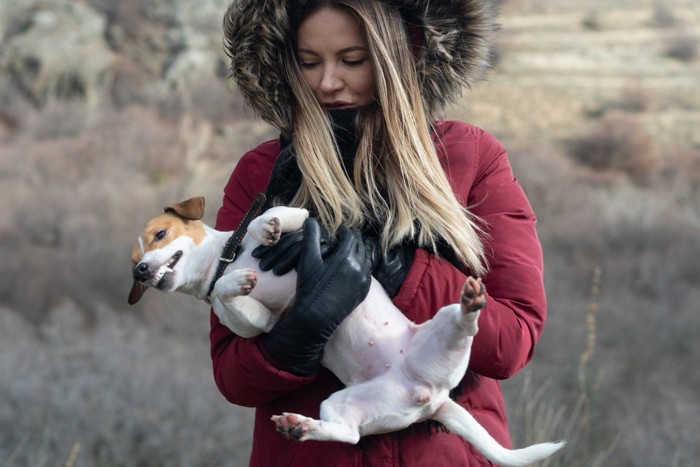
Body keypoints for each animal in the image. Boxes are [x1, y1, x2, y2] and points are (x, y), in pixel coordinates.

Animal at [130, 196, 564, 466]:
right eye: (133, 263)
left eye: (160, 234)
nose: (142, 270)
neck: (227, 260)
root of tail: (432, 397)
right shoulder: (257, 322)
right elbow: (230, 298)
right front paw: (235, 284)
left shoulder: (298, 222)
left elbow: (271, 217)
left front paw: (269, 228)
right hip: (347, 403)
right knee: (349, 434)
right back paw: (300, 426)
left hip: (437, 330)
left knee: (462, 326)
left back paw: (470, 304)